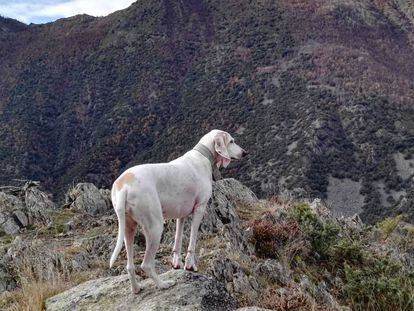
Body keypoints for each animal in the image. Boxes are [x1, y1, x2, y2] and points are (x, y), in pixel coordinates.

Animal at [108, 130, 247, 294]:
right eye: (232, 141)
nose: (244, 152)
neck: (203, 155)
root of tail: (124, 186)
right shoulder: (200, 209)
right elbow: (192, 241)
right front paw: (190, 265)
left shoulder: (181, 215)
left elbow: (178, 240)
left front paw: (177, 263)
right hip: (155, 227)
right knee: (146, 264)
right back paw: (163, 284)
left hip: (128, 227)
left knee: (130, 265)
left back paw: (136, 288)